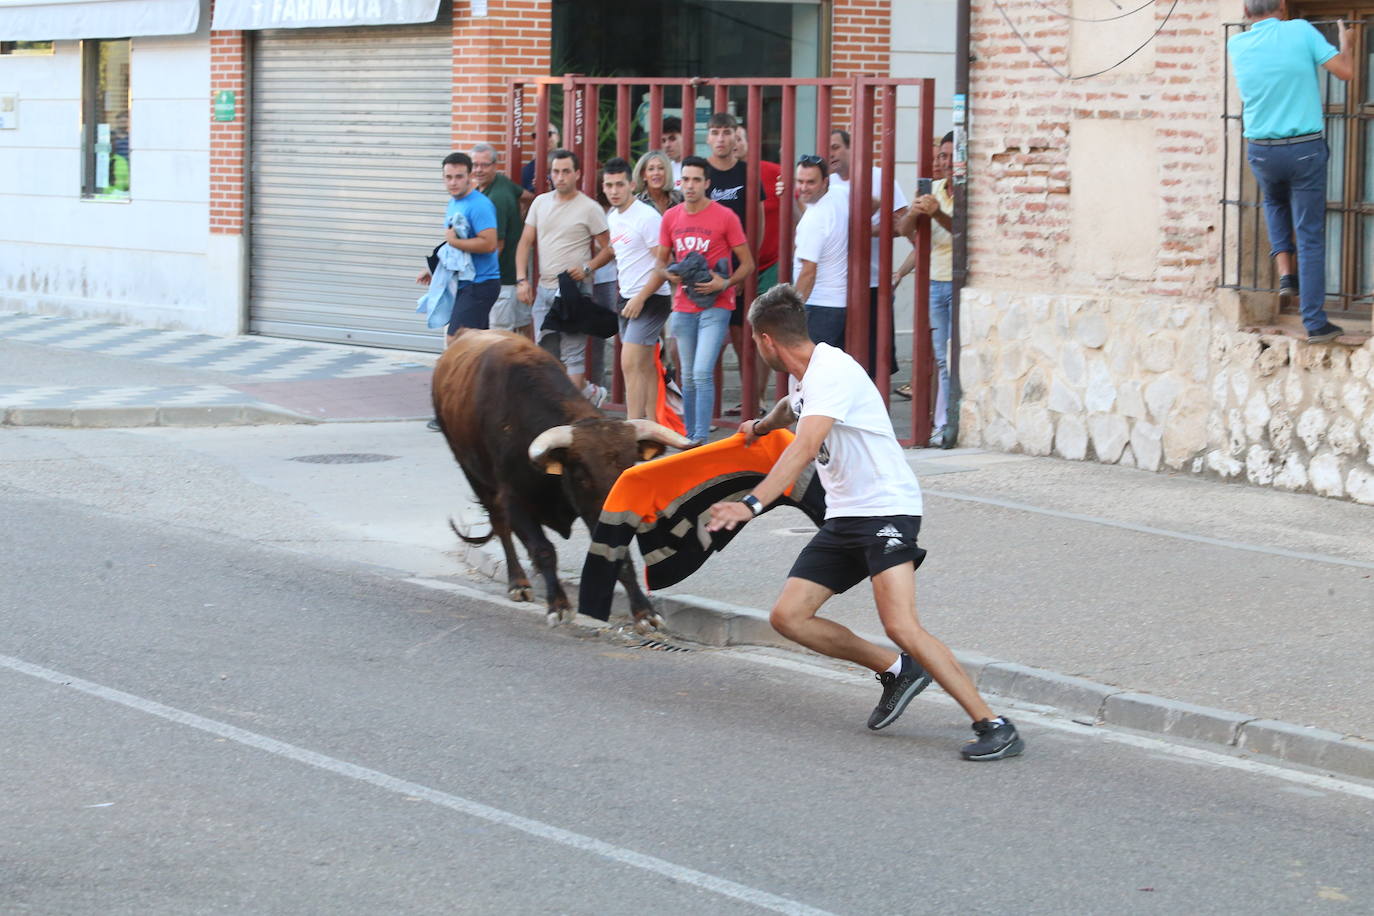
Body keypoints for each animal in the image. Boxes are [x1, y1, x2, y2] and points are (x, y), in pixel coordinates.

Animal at [431, 329, 692, 631]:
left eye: (629, 468)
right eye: (581, 473)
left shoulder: (598, 514)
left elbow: (619, 557)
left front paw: (645, 613)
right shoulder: (514, 501)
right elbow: (543, 550)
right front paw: (558, 605)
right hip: (472, 472)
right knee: (500, 526)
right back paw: (518, 583)